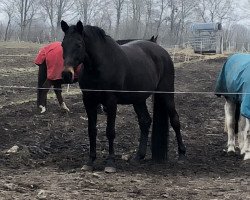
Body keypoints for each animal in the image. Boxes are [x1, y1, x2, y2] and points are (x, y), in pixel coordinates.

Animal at [60, 20, 186, 173]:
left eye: (78, 44)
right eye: (62, 45)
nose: (67, 74)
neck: (99, 66)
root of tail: (162, 51)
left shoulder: (111, 102)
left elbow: (110, 131)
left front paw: (110, 163)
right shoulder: (89, 101)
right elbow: (92, 130)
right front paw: (90, 161)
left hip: (166, 94)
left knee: (175, 120)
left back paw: (182, 154)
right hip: (138, 100)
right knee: (145, 121)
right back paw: (139, 156)